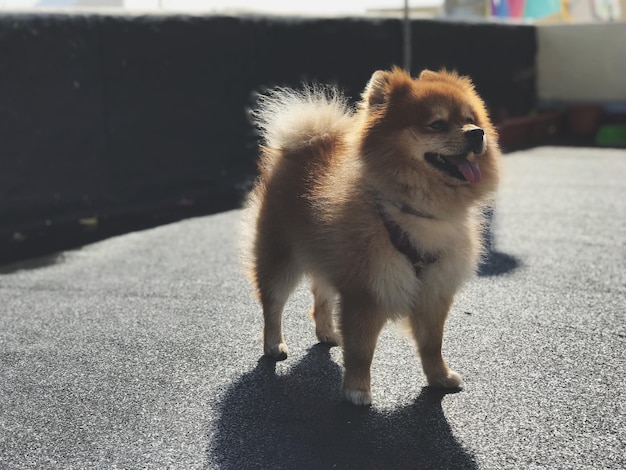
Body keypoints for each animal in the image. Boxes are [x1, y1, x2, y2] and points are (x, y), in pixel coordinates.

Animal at [240, 68, 498, 406]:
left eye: (471, 119)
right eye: (437, 124)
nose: (477, 133)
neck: (414, 211)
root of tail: (303, 146)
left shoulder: (434, 291)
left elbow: (433, 344)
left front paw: (439, 378)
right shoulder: (366, 292)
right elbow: (362, 350)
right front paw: (357, 390)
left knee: (320, 295)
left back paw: (327, 332)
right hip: (280, 258)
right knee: (272, 304)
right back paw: (273, 344)